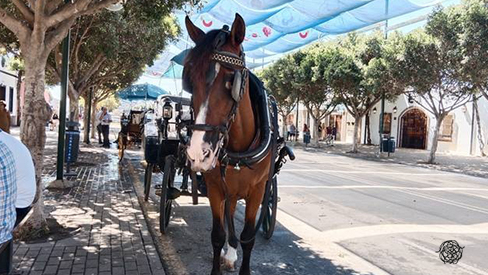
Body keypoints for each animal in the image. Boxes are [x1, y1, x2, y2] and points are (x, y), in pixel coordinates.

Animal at [184, 14, 274, 275]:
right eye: (189, 80)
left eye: (230, 80)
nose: (198, 153)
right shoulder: (215, 186)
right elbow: (217, 234)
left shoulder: (258, 190)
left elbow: (248, 237)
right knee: (229, 213)